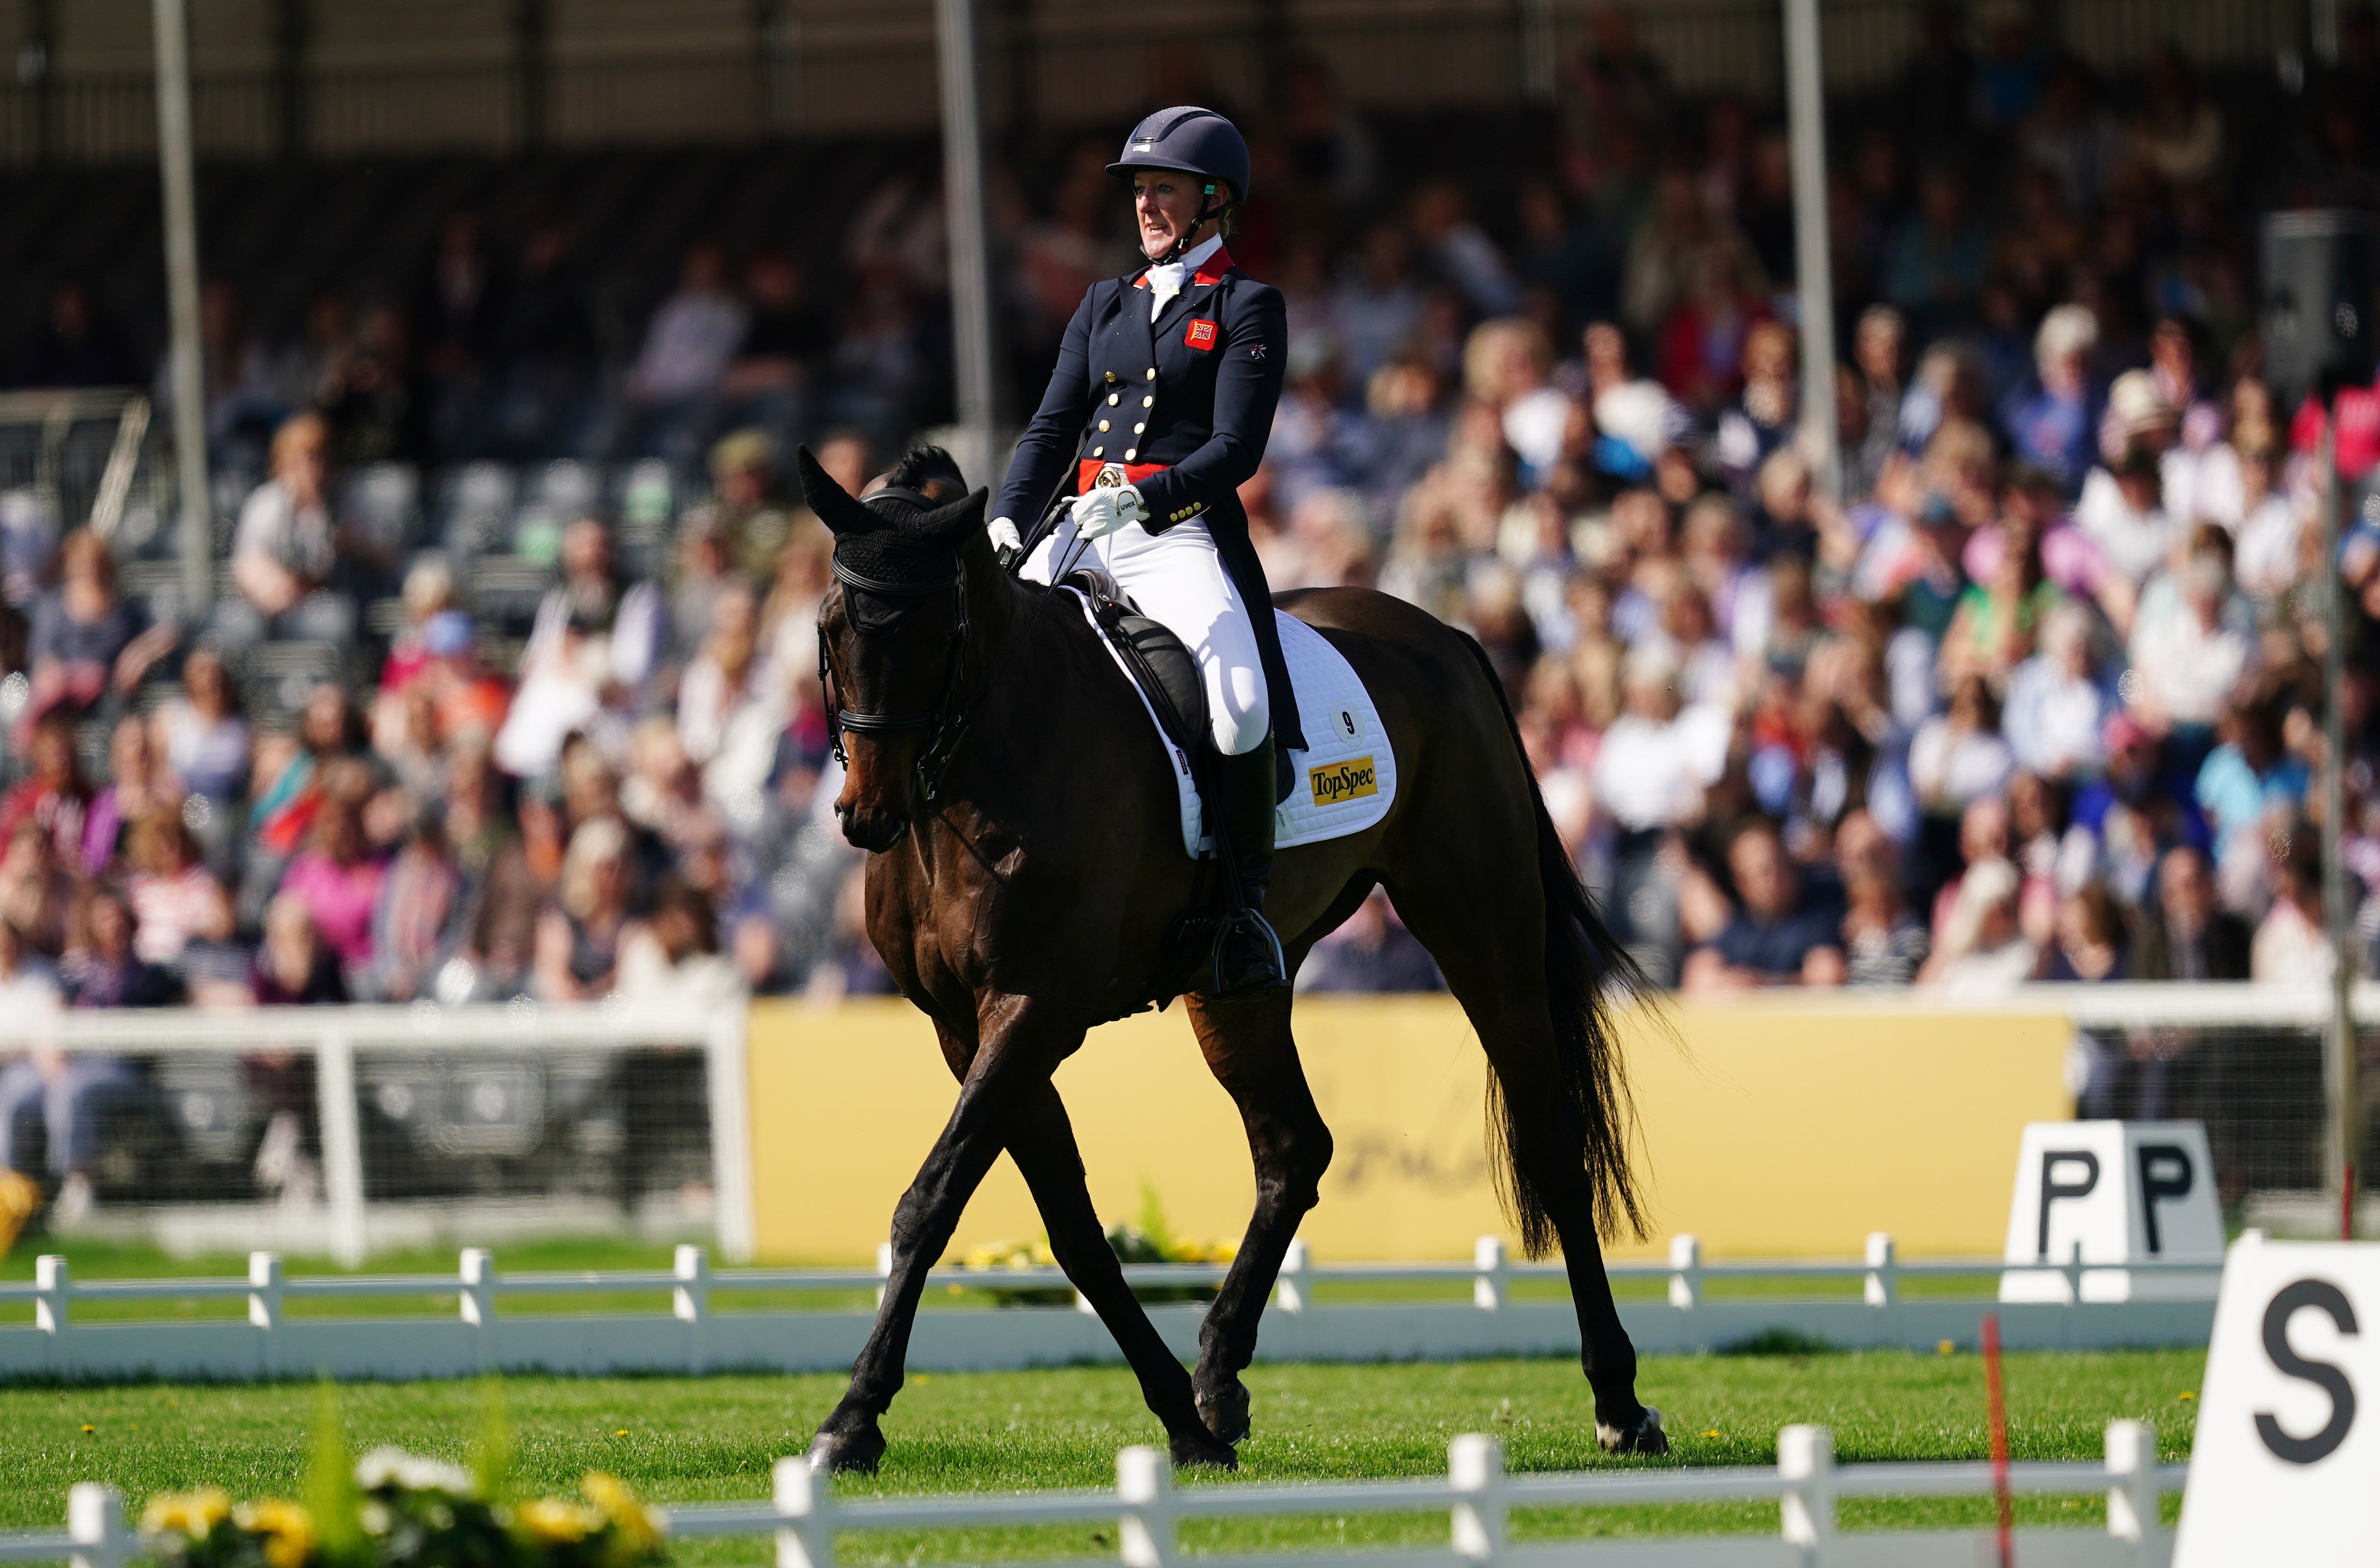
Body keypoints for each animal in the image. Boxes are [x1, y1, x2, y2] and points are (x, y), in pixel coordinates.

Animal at [800, 447, 1656, 1475]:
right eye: (831, 627)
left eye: (938, 630)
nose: (867, 815)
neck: (977, 769)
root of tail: (1441, 634)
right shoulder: (965, 1026)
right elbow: (1071, 1227)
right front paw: (1180, 1415)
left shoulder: (1034, 1007)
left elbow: (930, 1200)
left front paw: (851, 1417)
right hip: (1237, 987)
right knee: (1293, 1147)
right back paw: (1217, 1378)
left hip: (1482, 926)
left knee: (1551, 1138)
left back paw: (1619, 1400)